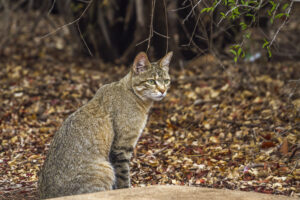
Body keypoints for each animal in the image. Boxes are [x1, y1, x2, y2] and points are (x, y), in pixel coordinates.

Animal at [37, 51, 173, 198]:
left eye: (166, 81)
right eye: (151, 81)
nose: (163, 91)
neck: (133, 94)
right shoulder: (121, 147)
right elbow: (123, 177)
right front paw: (127, 190)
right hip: (105, 169)